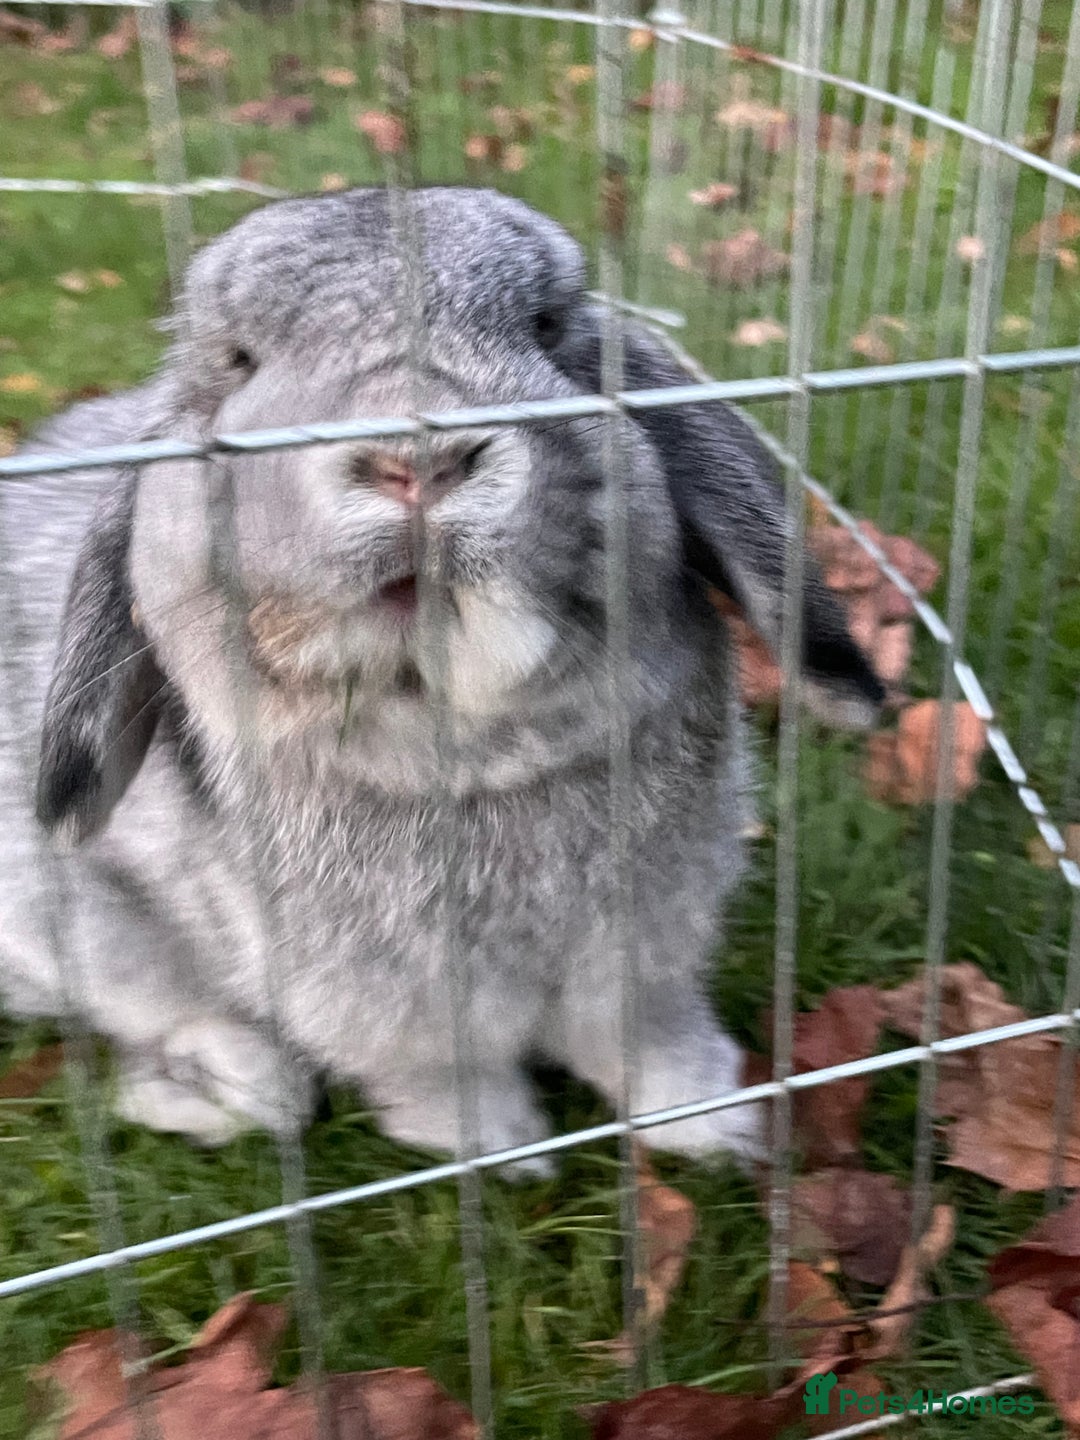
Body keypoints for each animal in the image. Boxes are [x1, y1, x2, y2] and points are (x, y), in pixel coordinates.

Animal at [0, 187, 883, 1171]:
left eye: (549, 327)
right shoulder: (386, 1010)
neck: (466, 750)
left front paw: (715, 1126)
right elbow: (443, 1081)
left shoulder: (645, 955)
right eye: (235, 363)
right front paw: (506, 1151)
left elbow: (652, 1040)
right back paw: (229, 1089)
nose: (417, 461)